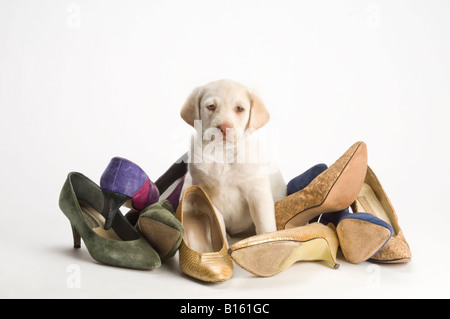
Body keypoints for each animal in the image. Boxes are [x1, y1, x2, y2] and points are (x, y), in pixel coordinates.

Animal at [179, 79, 284, 236]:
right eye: (211, 106)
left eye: (239, 108)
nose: (224, 128)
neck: (222, 153)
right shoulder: (207, 197)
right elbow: (219, 229)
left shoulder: (258, 193)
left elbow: (265, 226)